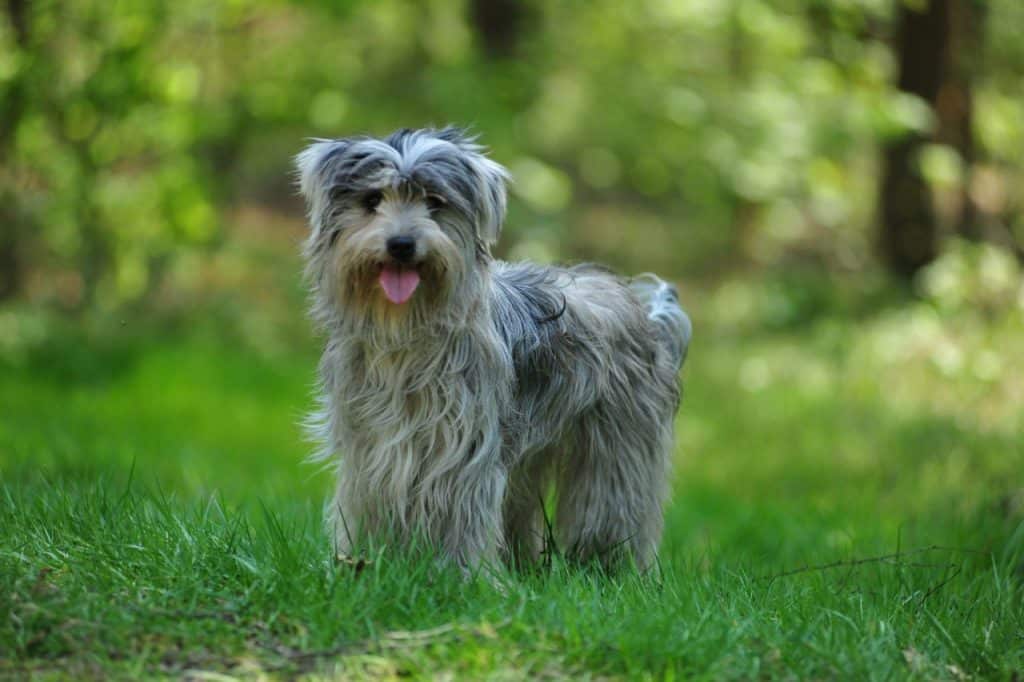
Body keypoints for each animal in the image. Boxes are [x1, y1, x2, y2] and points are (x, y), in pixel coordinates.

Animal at [299, 125, 696, 569]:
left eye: (435, 202)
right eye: (372, 200)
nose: (401, 243)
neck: (405, 331)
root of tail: (651, 317)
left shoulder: (462, 443)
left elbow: (460, 504)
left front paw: (458, 572)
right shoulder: (369, 445)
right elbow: (367, 498)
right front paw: (362, 561)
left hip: (617, 442)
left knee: (612, 504)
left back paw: (610, 566)